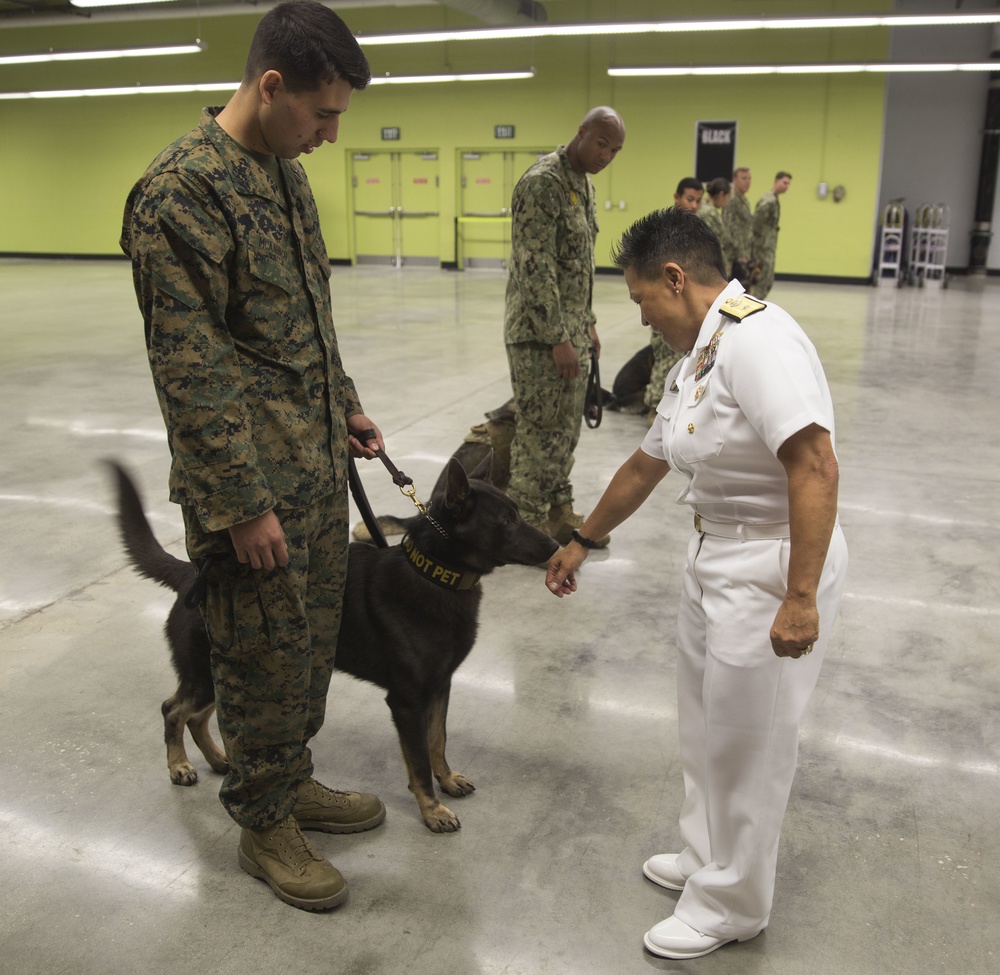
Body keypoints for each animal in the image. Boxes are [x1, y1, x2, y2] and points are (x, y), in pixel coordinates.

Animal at [115, 456, 564, 832]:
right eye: (506, 520)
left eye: (516, 513)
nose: (557, 546)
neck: (434, 575)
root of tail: (191, 576)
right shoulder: (407, 701)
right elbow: (419, 761)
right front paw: (432, 809)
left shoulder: (440, 686)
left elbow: (438, 741)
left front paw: (448, 779)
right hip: (217, 674)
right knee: (173, 710)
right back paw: (179, 766)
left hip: (229, 677)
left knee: (197, 716)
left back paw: (215, 758)